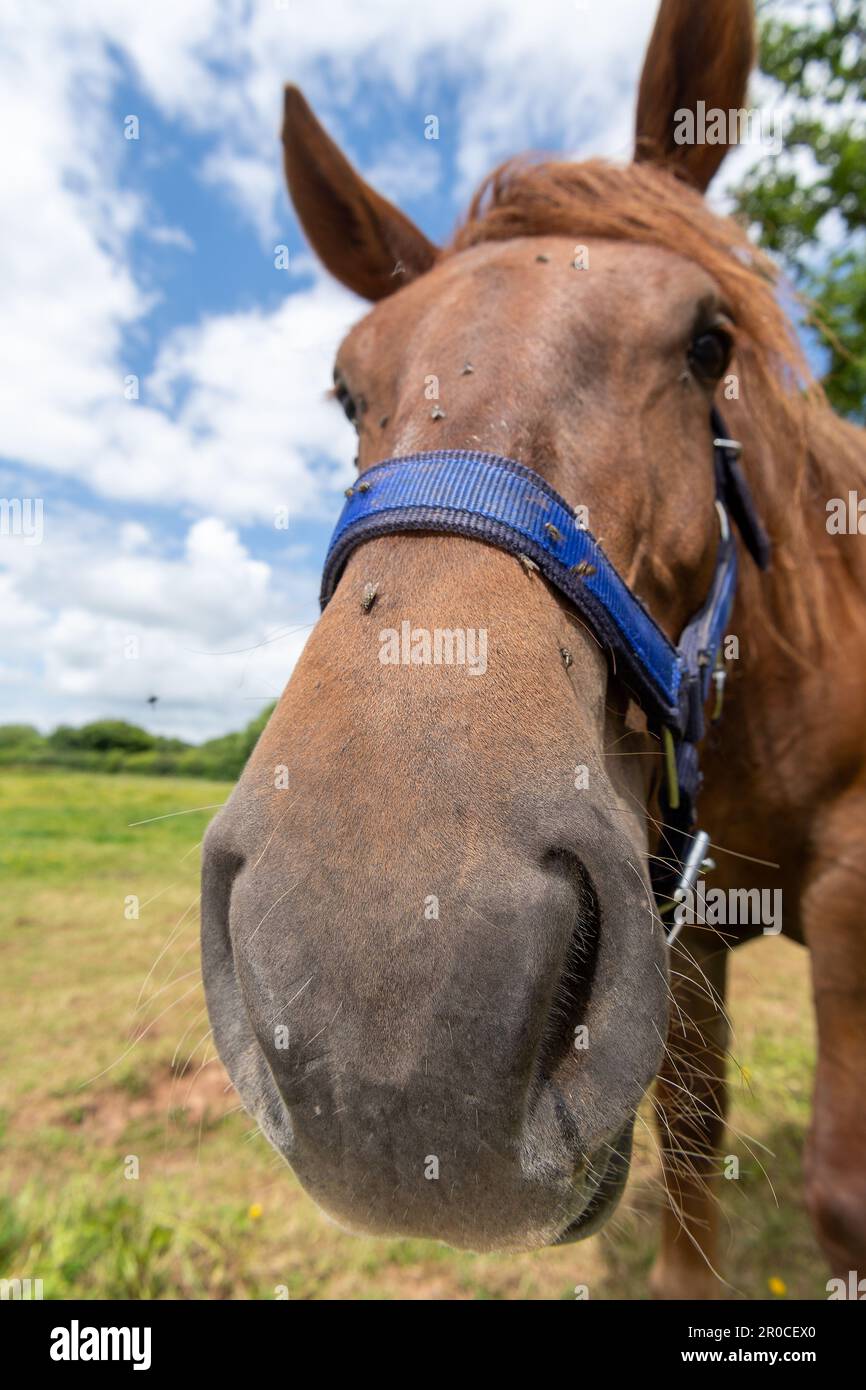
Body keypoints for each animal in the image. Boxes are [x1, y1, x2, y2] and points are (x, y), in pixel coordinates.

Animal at [201, 0, 866, 1297]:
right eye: (346, 387)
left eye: (708, 343)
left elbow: (841, 1197)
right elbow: (691, 1146)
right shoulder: (682, 935)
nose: (388, 1009)